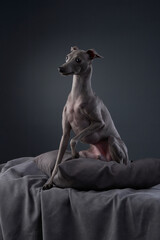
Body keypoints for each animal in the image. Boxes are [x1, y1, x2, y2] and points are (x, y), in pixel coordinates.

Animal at [42, 46, 130, 189]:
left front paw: (74, 153)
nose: (60, 68)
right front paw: (49, 182)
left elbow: (74, 140)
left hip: (113, 141)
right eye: (67, 57)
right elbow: (57, 161)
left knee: (121, 164)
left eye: (78, 60)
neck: (77, 96)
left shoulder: (98, 123)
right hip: (89, 154)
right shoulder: (65, 133)